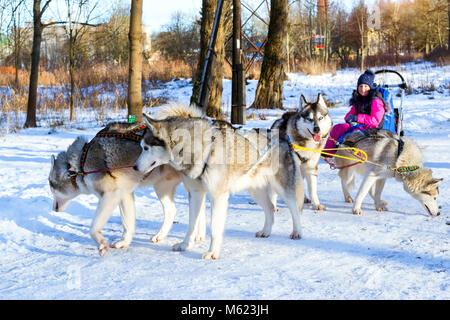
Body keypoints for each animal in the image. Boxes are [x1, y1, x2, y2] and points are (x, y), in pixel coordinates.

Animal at [133, 111, 302, 258]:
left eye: (146, 148)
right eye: (141, 147)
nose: (134, 167)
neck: (200, 151)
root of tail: (282, 137)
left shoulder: (218, 197)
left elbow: (214, 228)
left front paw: (212, 252)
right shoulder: (195, 194)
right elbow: (192, 224)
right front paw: (185, 245)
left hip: (283, 189)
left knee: (294, 209)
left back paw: (297, 232)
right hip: (255, 191)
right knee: (270, 209)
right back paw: (266, 231)